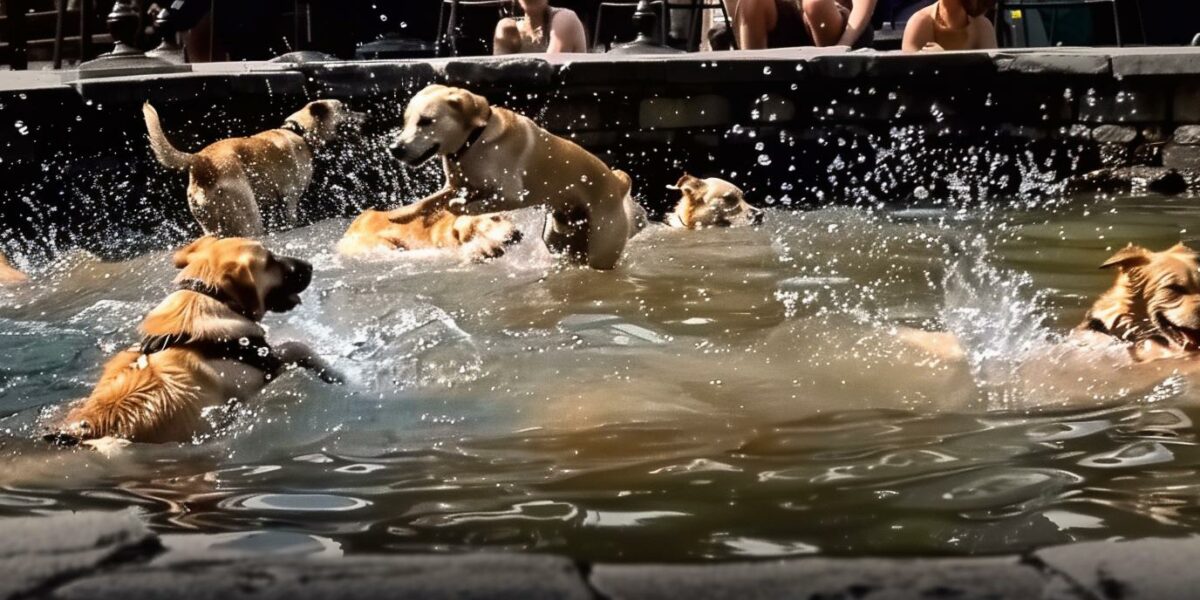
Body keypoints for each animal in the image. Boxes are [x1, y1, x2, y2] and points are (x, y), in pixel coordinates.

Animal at [46, 235, 343, 446]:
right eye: (270, 259)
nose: (310, 266)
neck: (204, 298)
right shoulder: (259, 372)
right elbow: (298, 346)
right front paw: (335, 374)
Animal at [142, 100, 362, 236]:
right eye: (345, 108)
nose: (366, 116)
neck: (299, 132)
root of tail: (200, 160)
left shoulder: (275, 202)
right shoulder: (290, 198)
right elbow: (292, 219)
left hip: (209, 223)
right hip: (248, 216)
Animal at [384, 84, 648, 270]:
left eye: (426, 121)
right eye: (406, 122)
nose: (395, 148)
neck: (474, 141)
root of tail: (618, 183)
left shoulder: (512, 195)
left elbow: (467, 205)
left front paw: (460, 206)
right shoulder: (457, 185)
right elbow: (427, 202)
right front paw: (398, 214)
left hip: (602, 250)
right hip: (558, 239)